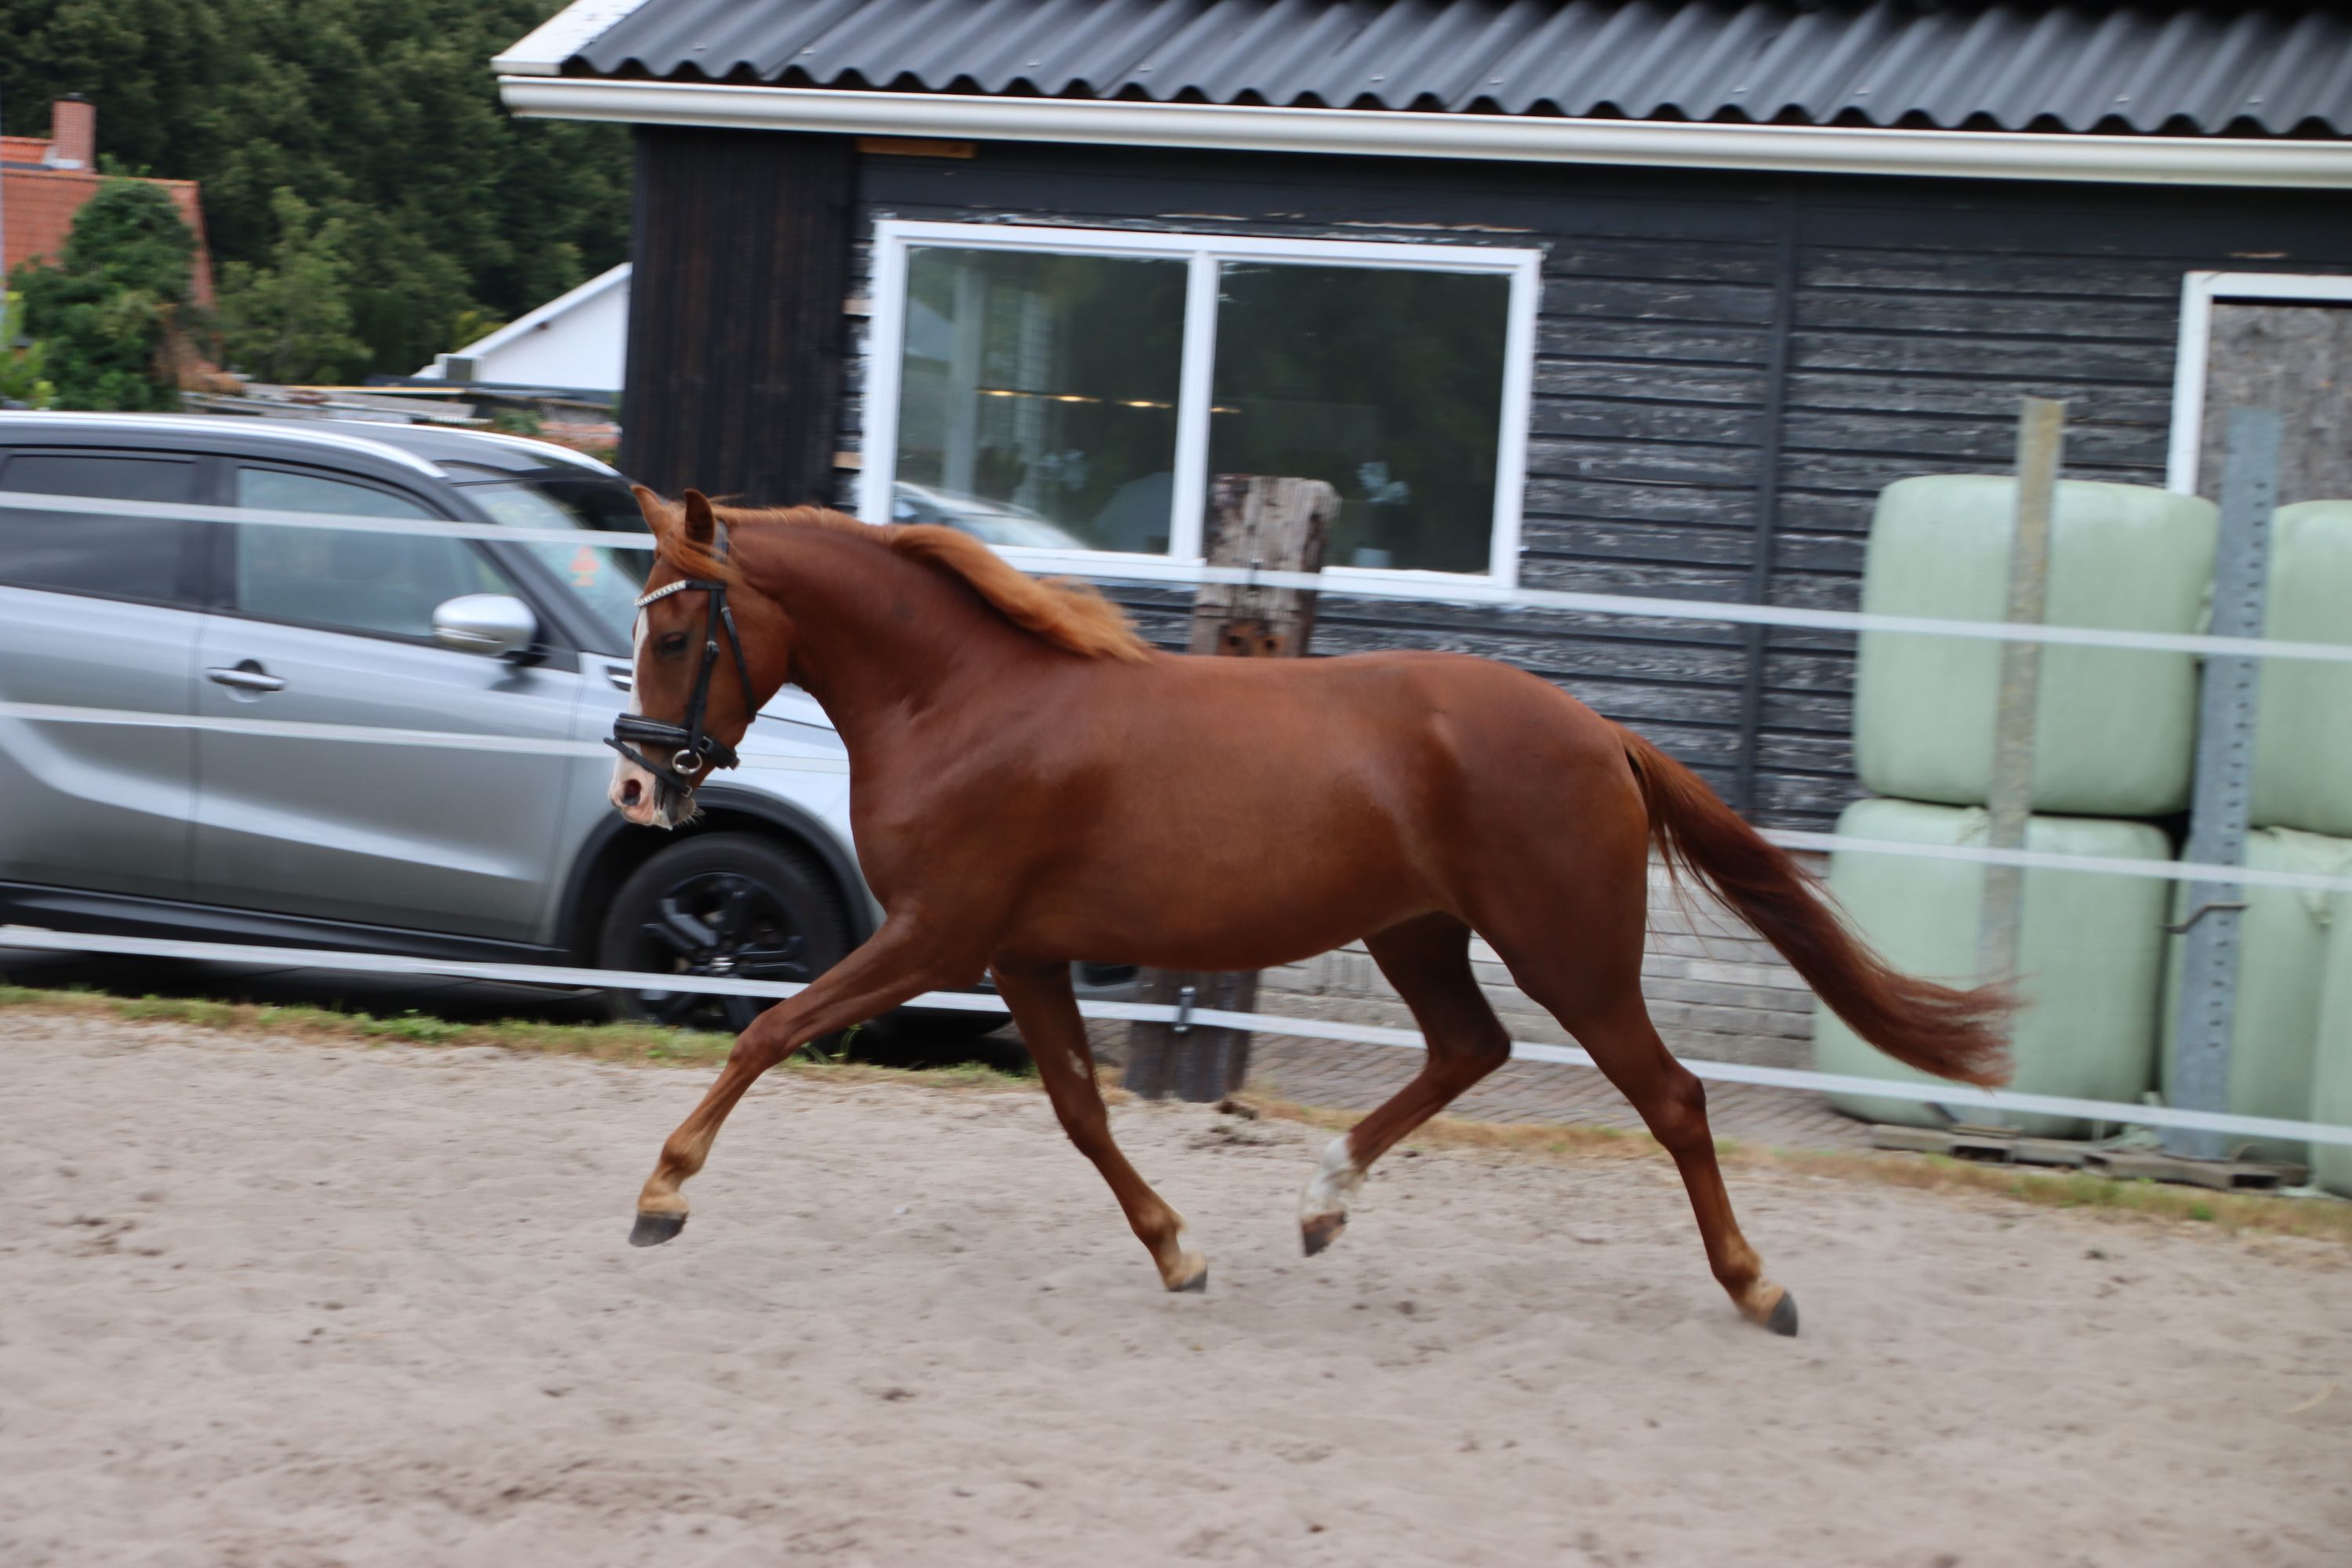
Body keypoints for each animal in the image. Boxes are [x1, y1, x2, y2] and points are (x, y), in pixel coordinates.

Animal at [605, 487, 2012, 1336]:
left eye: (674, 635)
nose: (636, 784)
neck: (960, 703)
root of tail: (1597, 731)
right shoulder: (1023, 955)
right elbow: (1079, 1112)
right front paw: (1179, 1251)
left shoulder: (938, 937)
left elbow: (768, 1029)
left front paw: (663, 1196)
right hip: (1417, 932)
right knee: (1469, 1049)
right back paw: (1323, 1202)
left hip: (1569, 951)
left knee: (1669, 1097)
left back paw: (1758, 1287)